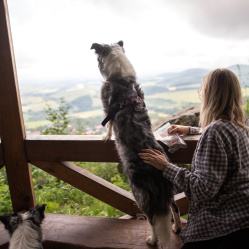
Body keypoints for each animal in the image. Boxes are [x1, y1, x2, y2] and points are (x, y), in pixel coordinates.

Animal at [91, 40, 181, 245]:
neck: (121, 78)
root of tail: (160, 171)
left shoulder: (106, 105)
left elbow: (108, 124)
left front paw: (105, 136)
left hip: (141, 196)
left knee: (152, 221)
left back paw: (152, 240)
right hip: (169, 193)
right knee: (175, 209)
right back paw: (176, 228)